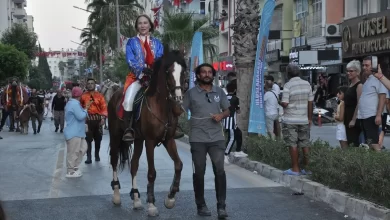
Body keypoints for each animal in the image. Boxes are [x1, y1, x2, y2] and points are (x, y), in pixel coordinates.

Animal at [106, 48, 186, 217]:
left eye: (183, 72)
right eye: (168, 71)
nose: (178, 99)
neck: (161, 106)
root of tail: (115, 94)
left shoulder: (169, 140)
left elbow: (178, 165)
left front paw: (170, 197)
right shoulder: (150, 141)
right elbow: (151, 173)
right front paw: (151, 204)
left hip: (138, 140)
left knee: (134, 165)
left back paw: (136, 199)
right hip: (115, 136)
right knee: (114, 161)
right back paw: (116, 196)